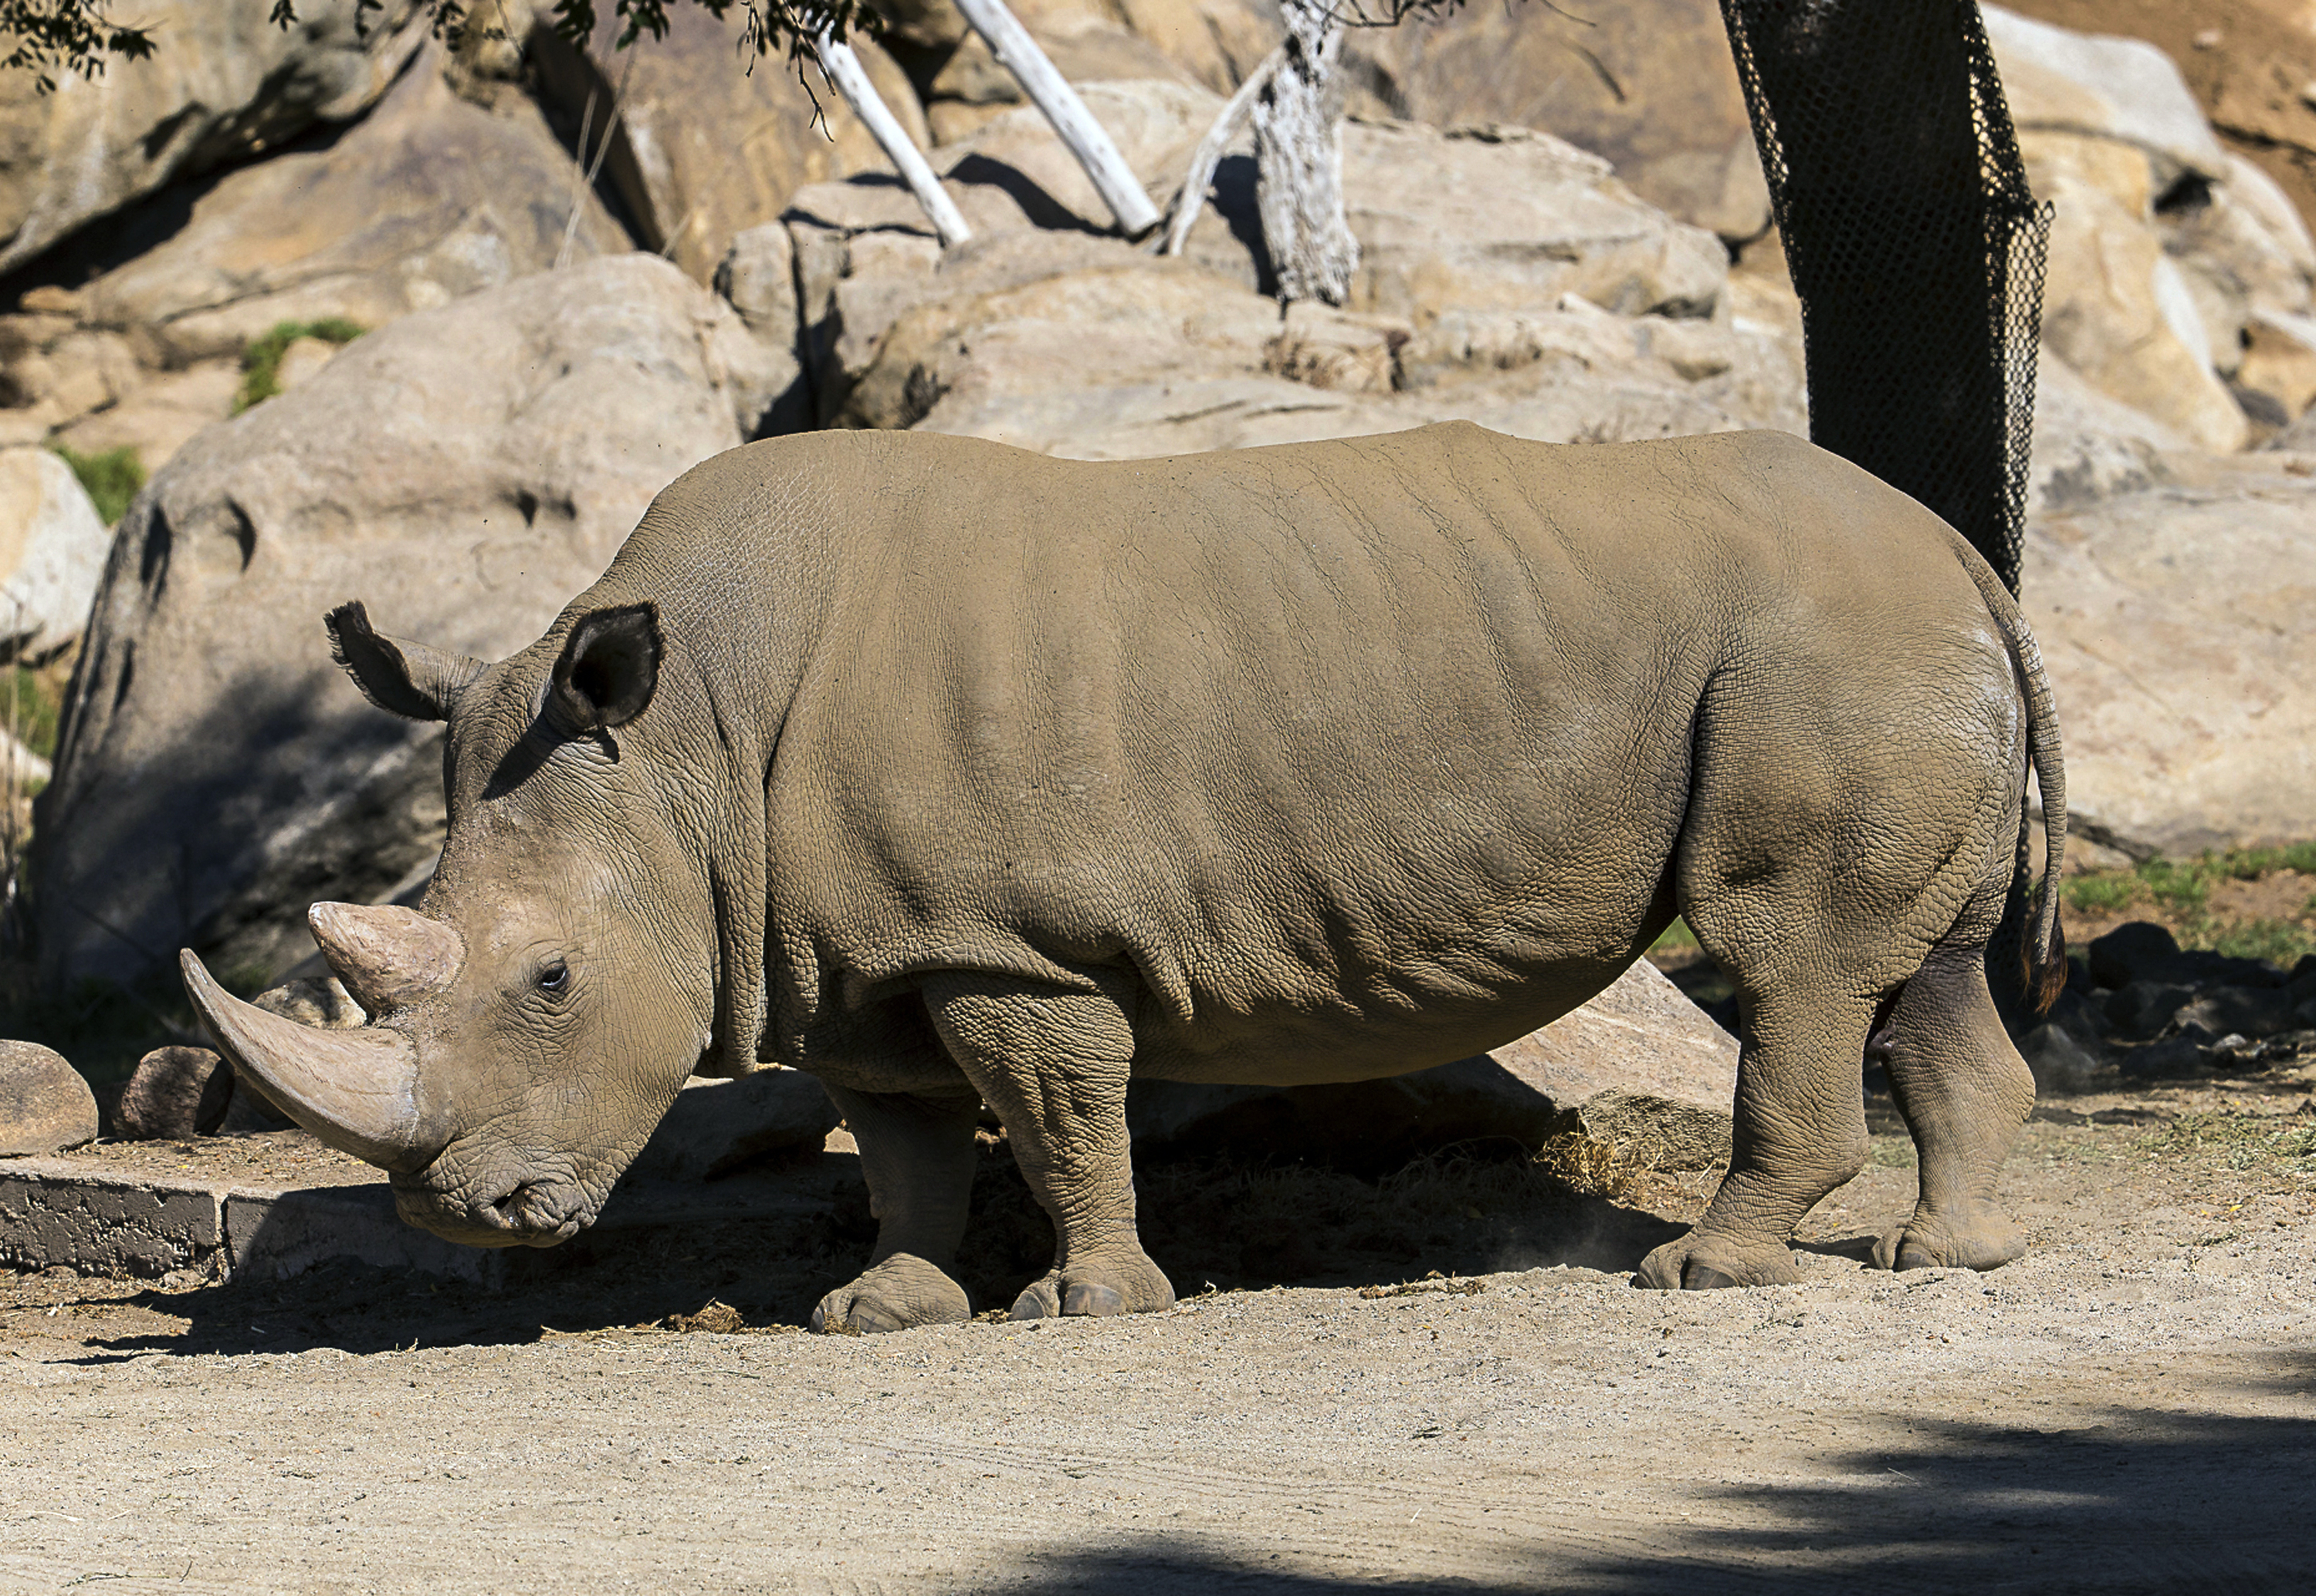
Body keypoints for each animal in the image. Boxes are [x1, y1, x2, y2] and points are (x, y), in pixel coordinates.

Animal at [181, 422, 2065, 1328]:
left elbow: (1056, 1110)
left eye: (554, 979)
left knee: (1796, 956)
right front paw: (880, 1308)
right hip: (1878, 648)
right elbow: (904, 1136)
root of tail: (1959, 545)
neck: (687, 751)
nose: (464, 1214)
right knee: (1925, 969)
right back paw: (1951, 1259)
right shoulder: (852, 946)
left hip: (1826, 648)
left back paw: (1705, 1276)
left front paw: (1084, 1303)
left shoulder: (1007, 939)